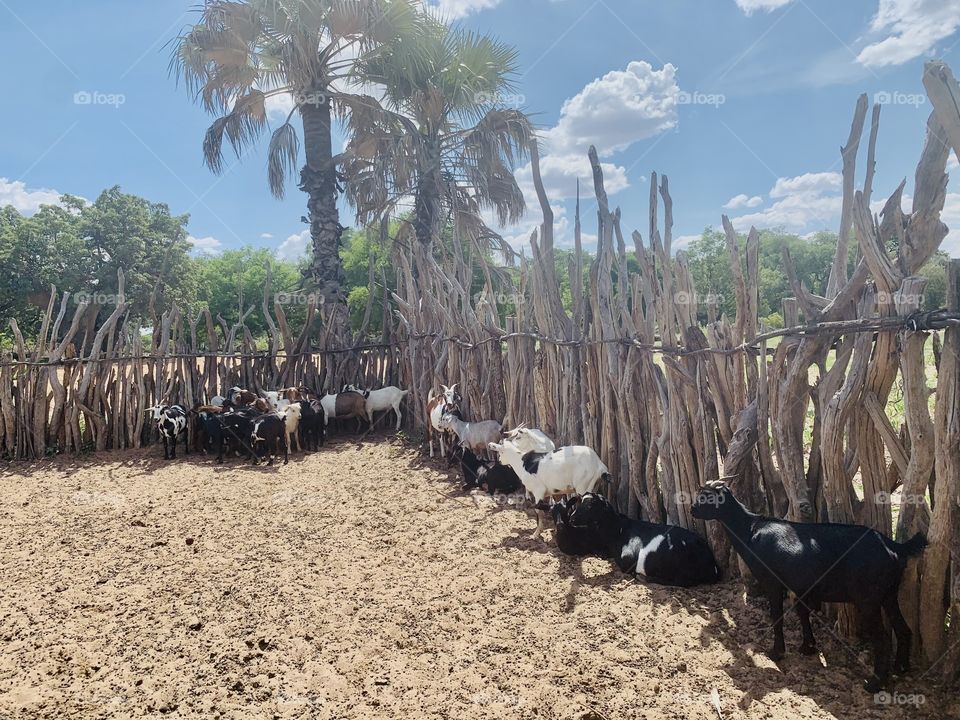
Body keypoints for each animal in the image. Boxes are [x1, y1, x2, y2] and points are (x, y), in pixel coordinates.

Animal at [692, 478, 928, 692]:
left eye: (706, 497)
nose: (693, 509)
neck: (750, 529)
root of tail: (894, 547)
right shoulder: (801, 586)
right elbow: (802, 613)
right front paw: (808, 647)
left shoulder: (772, 582)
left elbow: (777, 615)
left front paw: (776, 652)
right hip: (889, 593)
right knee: (903, 629)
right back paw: (901, 668)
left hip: (868, 599)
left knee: (883, 639)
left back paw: (875, 683)